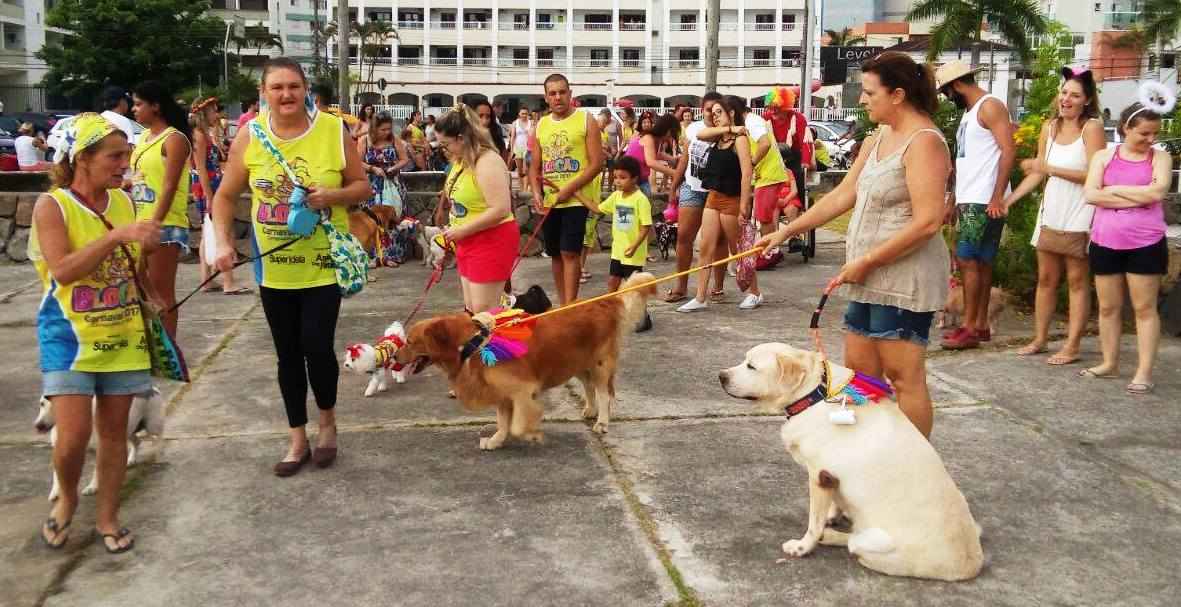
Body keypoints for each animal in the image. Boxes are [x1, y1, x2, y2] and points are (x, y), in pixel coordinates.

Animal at [33, 387, 165, 500]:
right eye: (42, 404)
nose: (38, 425)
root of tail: (152, 388)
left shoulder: (99, 449)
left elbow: (96, 471)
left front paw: (92, 487)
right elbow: (57, 474)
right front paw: (56, 492)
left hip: (152, 425)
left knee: (159, 437)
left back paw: (158, 457)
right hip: (126, 430)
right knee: (137, 441)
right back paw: (131, 460)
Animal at [394, 271, 656, 446]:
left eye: (410, 341)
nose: (394, 355)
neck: (474, 342)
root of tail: (606, 301)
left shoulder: (522, 390)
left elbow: (518, 424)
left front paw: (532, 434)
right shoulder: (501, 393)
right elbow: (503, 422)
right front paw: (495, 440)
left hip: (600, 363)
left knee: (604, 393)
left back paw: (601, 421)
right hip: (578, 361)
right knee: (589, 387)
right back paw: (590, 410)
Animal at [718, 342, 987, 578]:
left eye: (751, 366)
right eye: (744, 360)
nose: (721, 376)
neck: (814, 394)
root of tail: (971, 563)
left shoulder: (818, 475)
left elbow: (813, 523)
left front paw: (803, 547)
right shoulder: (831, 478)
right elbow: (833, 503)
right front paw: (833, 515)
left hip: (876, 544)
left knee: (854, 543)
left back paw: (829, 537)